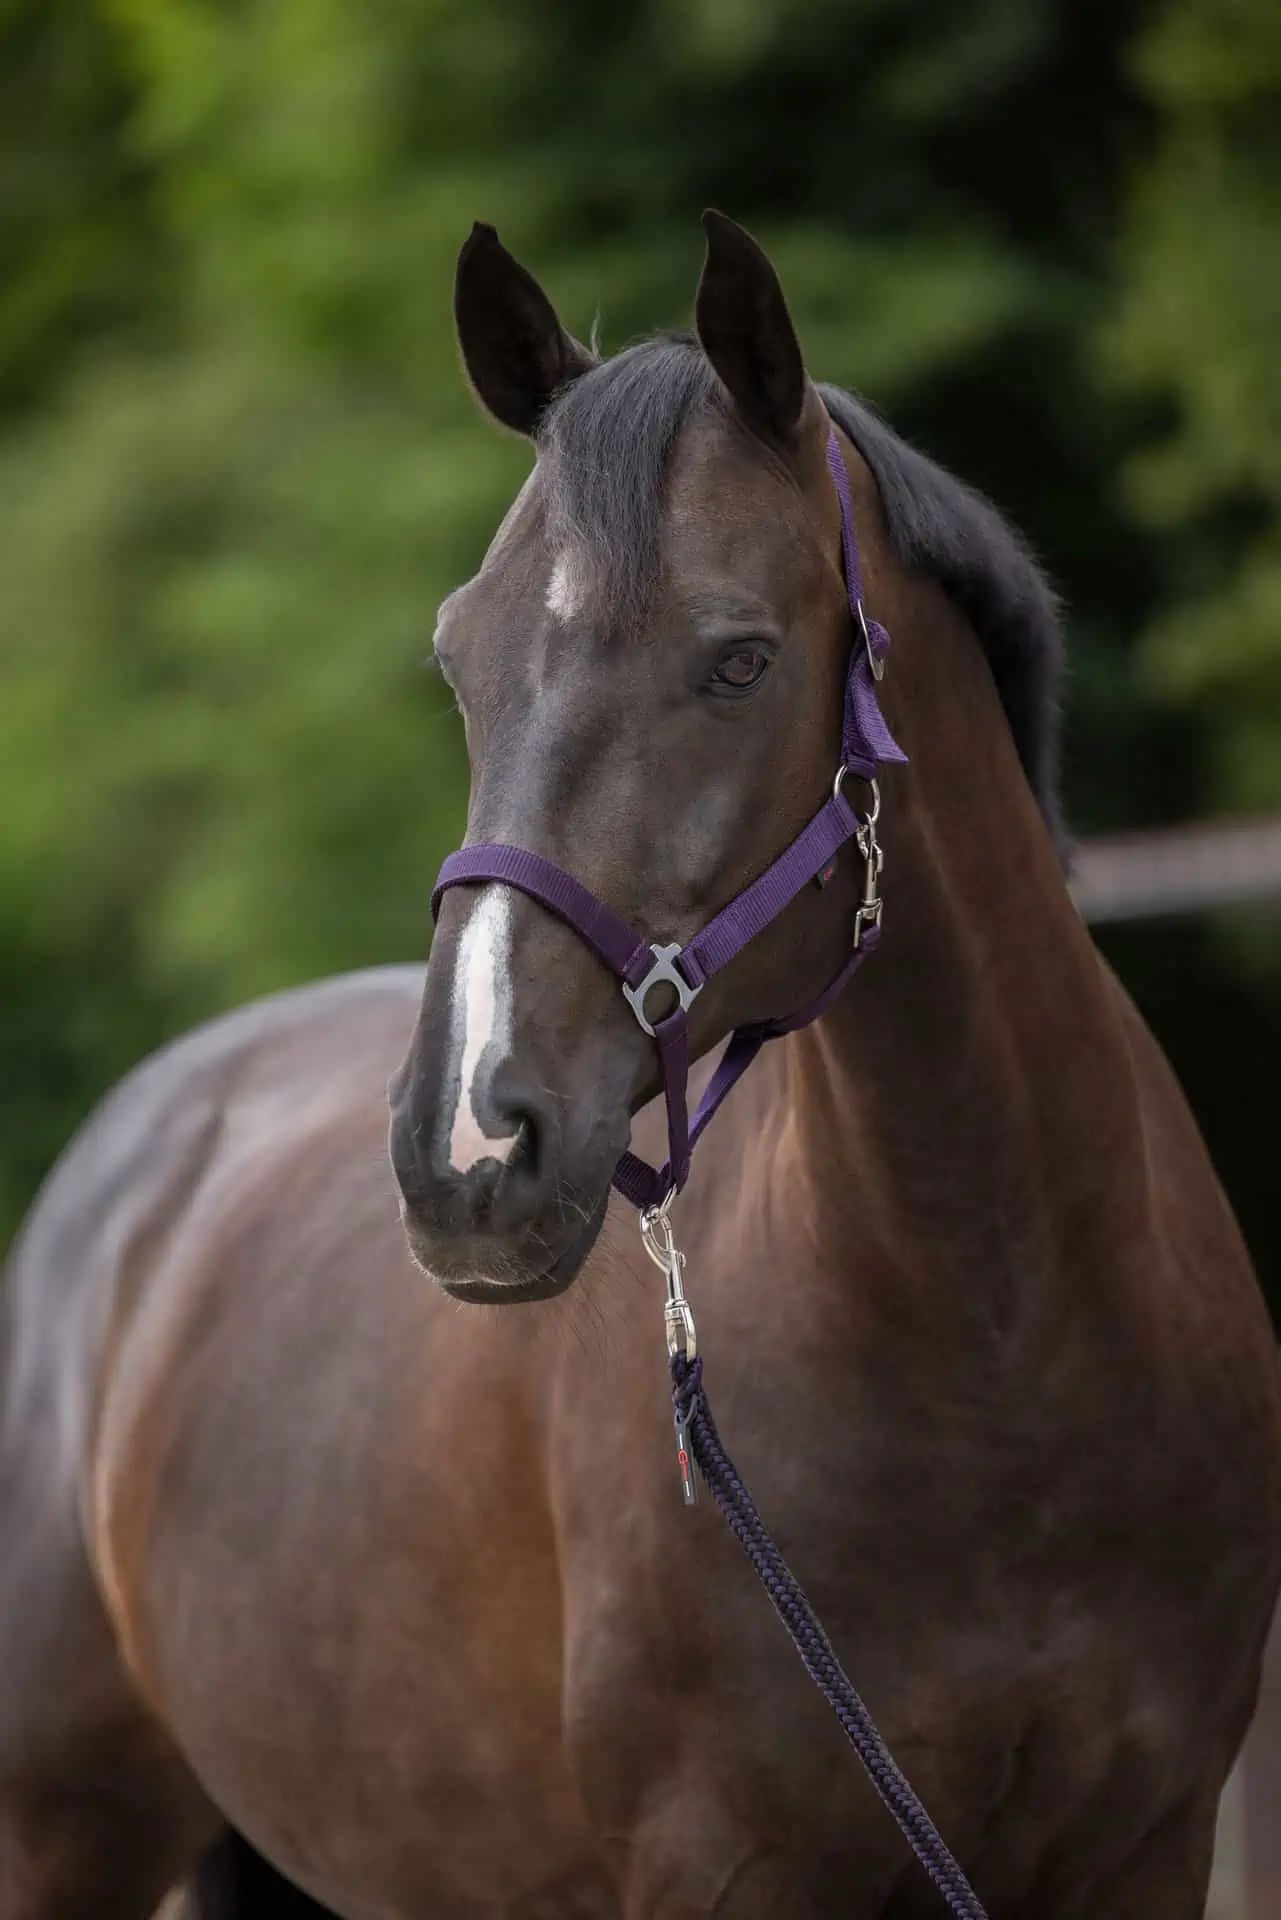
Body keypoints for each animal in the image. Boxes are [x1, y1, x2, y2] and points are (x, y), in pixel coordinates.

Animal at [2, 210, 1278, 1920]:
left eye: (737, 662)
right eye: (456, 661)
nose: (467, 1152)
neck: (1009, 1350)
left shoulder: (1149, 1847)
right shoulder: (721, 1868)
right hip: (66, 1832)